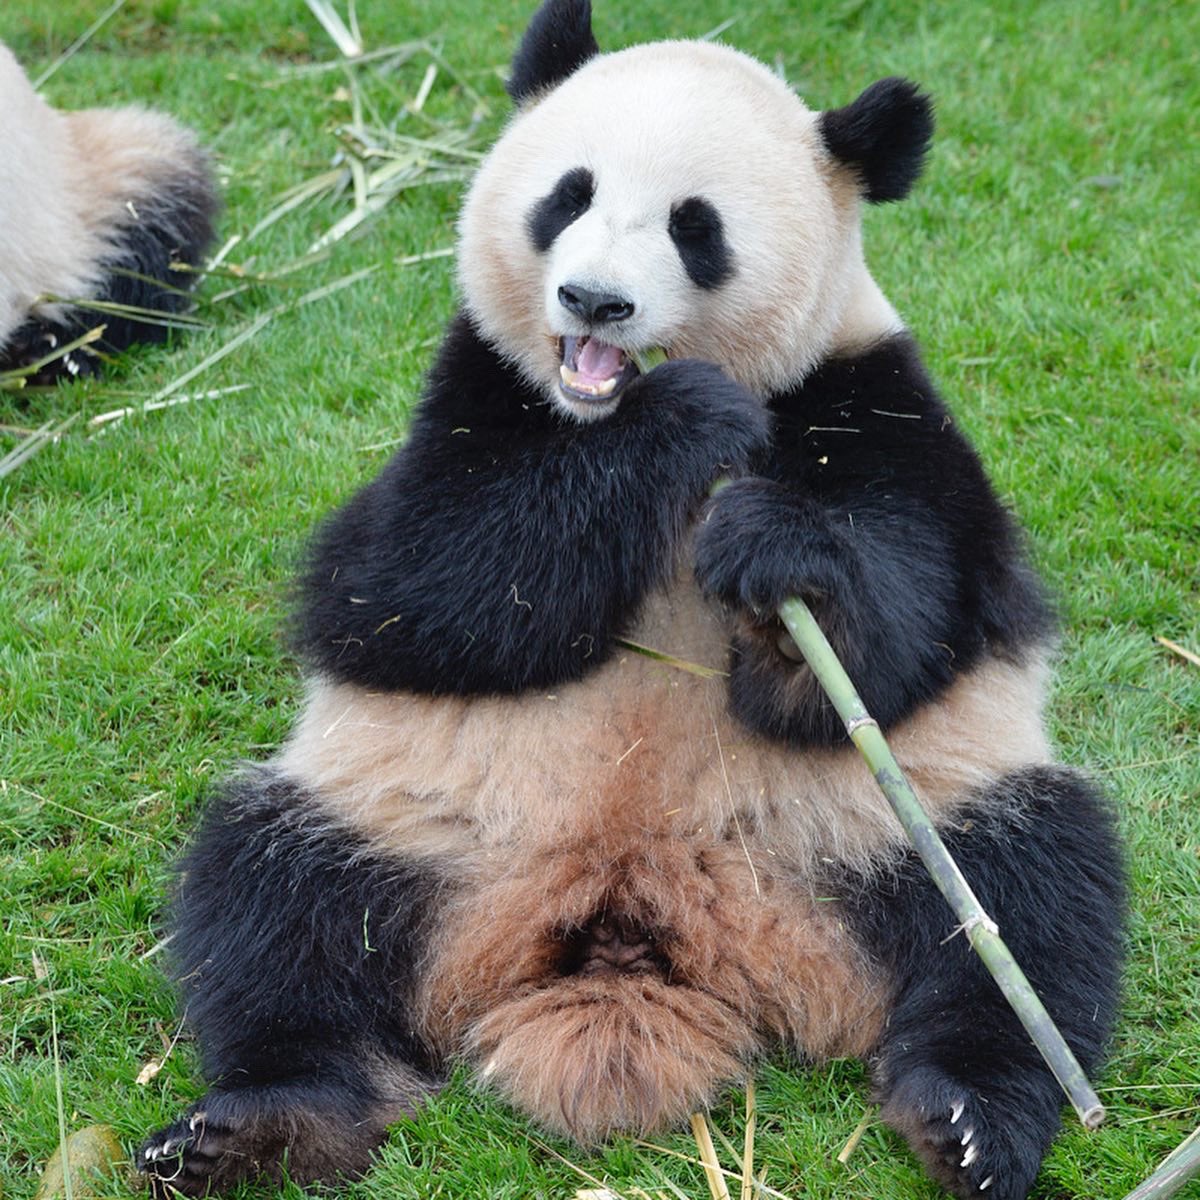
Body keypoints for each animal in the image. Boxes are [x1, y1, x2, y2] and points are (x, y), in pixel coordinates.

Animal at [139, 2, 1123, 1198]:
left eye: (696, 227)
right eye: (570, 193)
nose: (594, 301)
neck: (602, 406)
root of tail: (636, 915)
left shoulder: (875, 399)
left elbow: (914, 617)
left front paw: (776, 562)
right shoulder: (475, 396)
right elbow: (418, 588)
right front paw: (683, 421)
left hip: (885, 828)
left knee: (1026, 900)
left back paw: (972, 1118)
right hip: (404, 819)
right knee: (274, 906)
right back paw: (267, 1120)